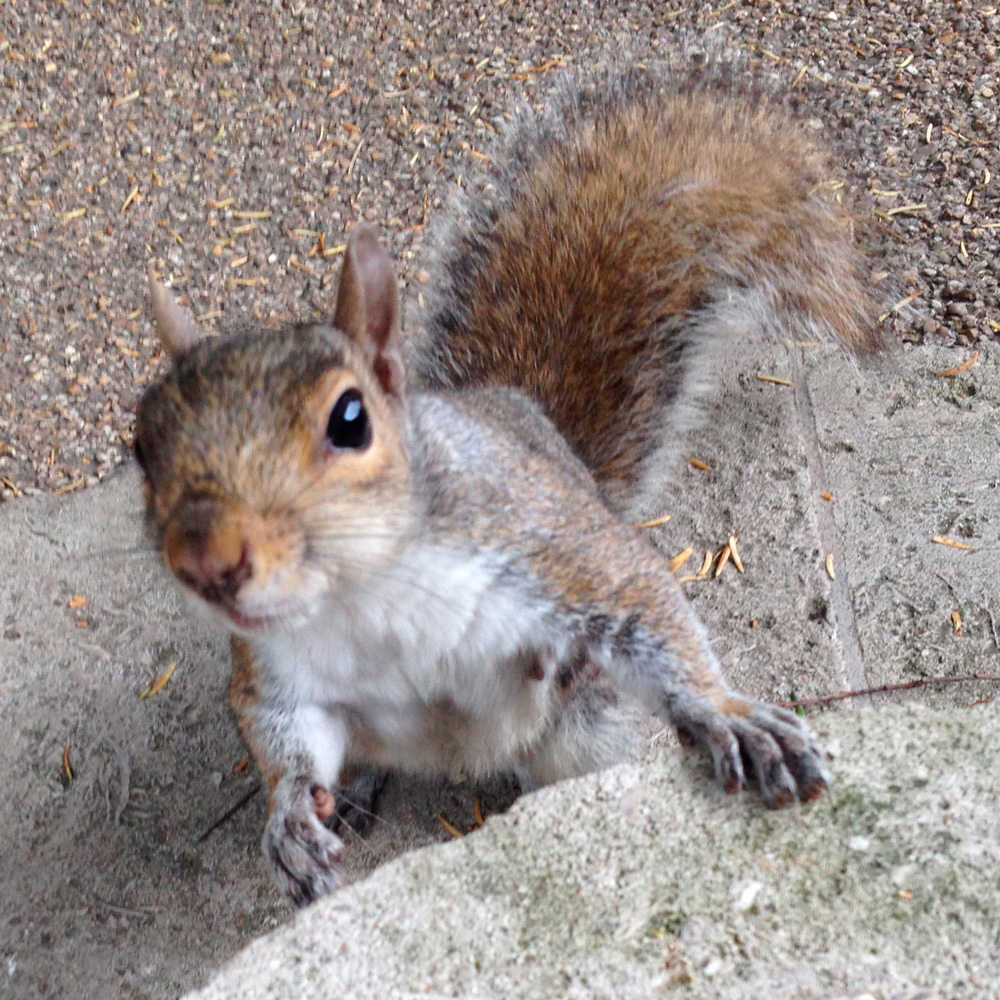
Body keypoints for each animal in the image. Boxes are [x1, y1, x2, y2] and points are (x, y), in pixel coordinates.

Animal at [134, 64, 880, 907]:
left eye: (350, 419)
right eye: (139, 442)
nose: (207, 560)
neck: (364, 590)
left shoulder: (547, 541)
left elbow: (647, 605)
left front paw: (728, 716)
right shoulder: (278, 667)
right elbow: (280, 731)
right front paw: (290, 818)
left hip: (579, 725)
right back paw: (357, 788)